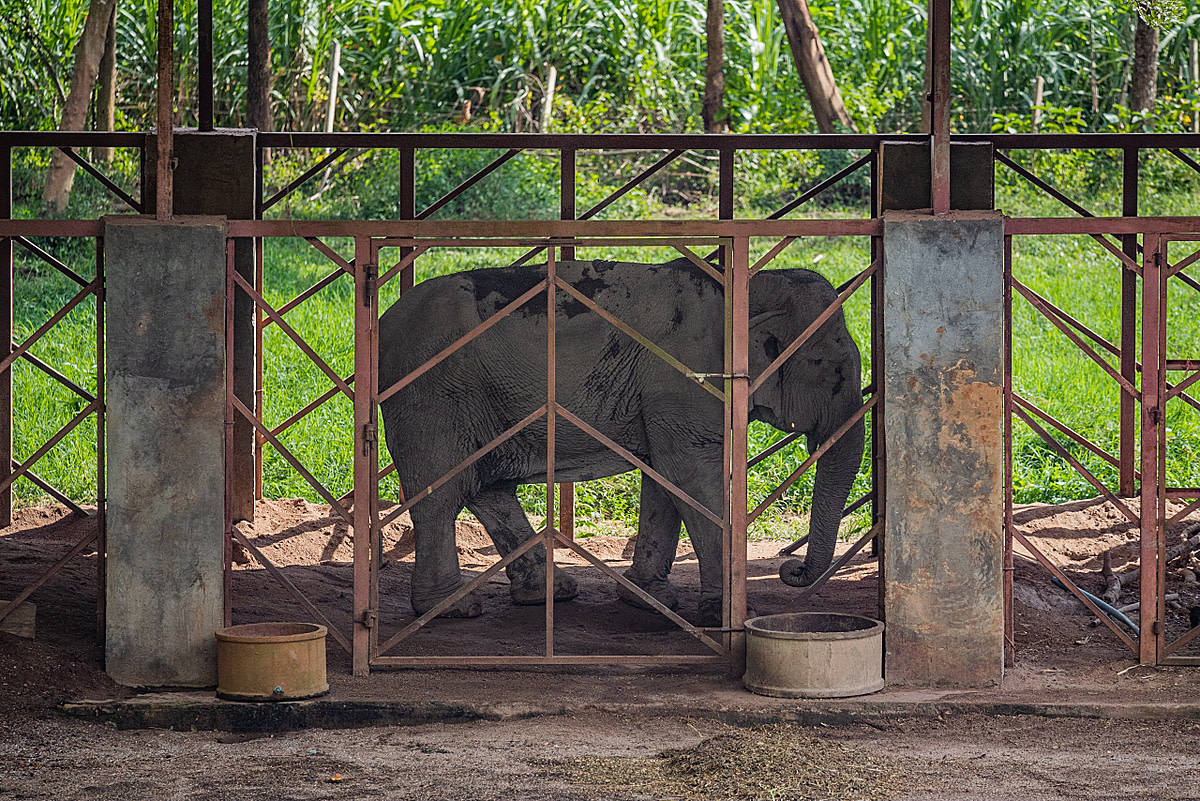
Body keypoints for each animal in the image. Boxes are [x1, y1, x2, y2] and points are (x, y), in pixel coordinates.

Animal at [379, 256, 859, 623]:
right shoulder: (685, 381)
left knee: (488, 487)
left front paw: (648, 600)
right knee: (442, 493)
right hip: (430, 396)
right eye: (836, 372)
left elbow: (666, 478)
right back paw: (451, 609)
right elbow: (691, 478)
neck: (749, 287)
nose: (790, 568)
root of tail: (380, 324)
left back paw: (550, 593)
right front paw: (726, 615)